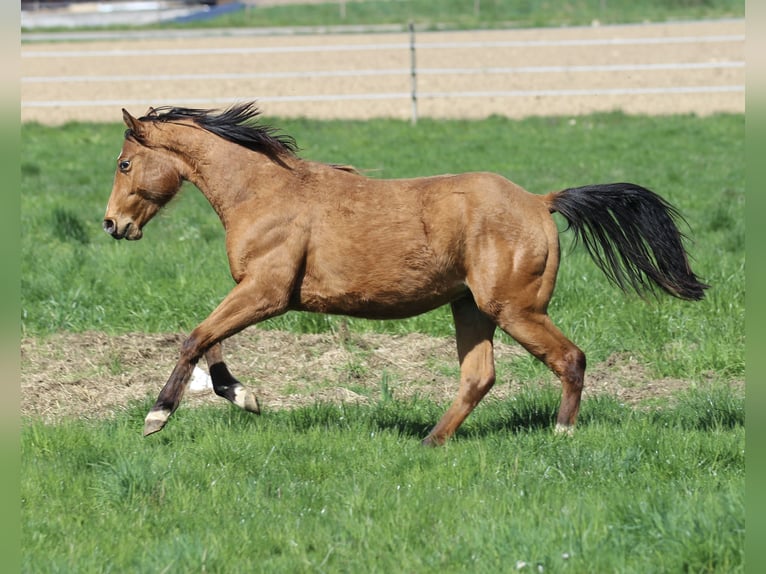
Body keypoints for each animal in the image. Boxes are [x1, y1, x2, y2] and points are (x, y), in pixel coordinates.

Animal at [102, 102, 707, 444]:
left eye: (125, 163)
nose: (112, 224)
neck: (264, 191)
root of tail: (541, 201)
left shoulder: (266, 293)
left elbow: (194, 337)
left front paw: (157, 417)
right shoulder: (253, 291)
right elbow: (210, 341)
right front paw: (242, 395)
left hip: (515, 308)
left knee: (570, 358)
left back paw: (561, 434)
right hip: (471, 308)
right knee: (479, 377)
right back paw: (429, 441)